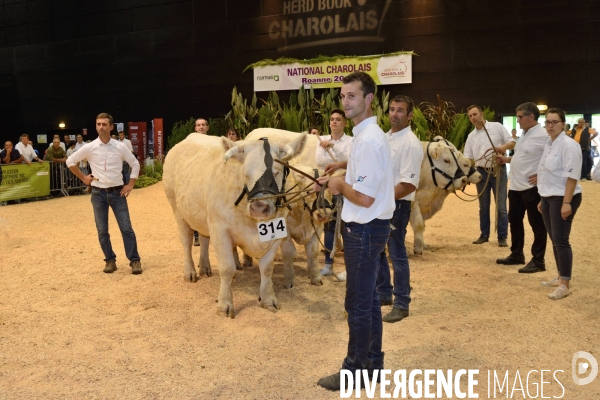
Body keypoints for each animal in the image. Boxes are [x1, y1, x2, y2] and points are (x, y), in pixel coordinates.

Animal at [163, 133, 308, 318]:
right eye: (246, 174)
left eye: (276, 171)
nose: (259, 207)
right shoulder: (220, 230)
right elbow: (226, 268)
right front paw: (225, 304)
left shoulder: (277, 232)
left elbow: (267, 268)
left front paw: (268, 299)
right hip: (177, 209)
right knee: (186, 241)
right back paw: (190, 272)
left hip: (203, 217)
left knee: (204, 239)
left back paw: (205, 267)